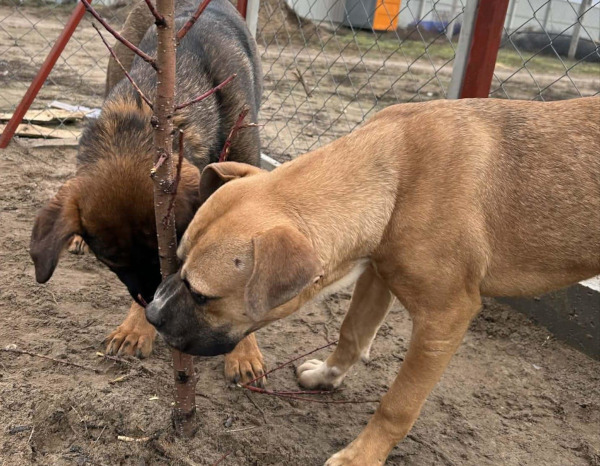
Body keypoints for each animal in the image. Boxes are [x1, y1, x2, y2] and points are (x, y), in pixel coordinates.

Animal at [145, 96, 600, 464]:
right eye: (177, 263)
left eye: (203, 296)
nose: (151, 314)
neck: (396, 177)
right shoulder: (378, 274)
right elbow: (350, 333)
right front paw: (328, 377)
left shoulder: (444, 318)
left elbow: (397, 405)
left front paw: (360, 457)